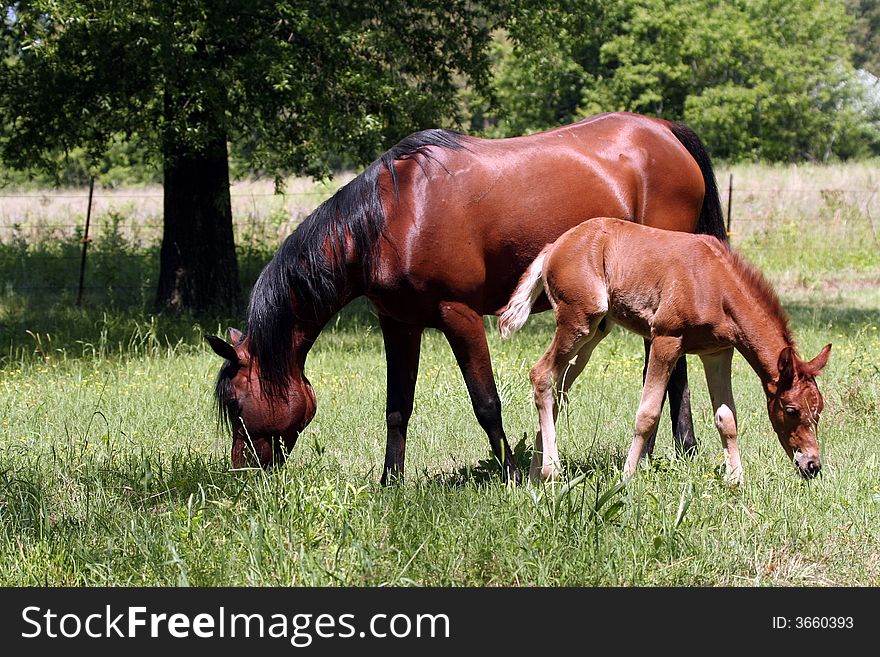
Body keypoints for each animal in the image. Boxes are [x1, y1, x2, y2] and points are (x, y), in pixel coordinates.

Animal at [208, 113, 728, 482]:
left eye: (235, 404)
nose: (242, 471)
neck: (393, 217)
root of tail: (665, 130)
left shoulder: (459, 316)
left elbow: (486, 402)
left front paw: (514, 476)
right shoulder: (400, 325)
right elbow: (397, 407)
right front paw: (389, 483)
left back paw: (676, 450)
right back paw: (674, 450)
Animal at [502, 218, 832, 484]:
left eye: (819, 410)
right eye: (791, 410)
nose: (812, 465)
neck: (715, 284)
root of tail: (554, 246)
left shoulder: (718, 352)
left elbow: (727, 418)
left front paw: (735, 478)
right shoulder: (665, 339)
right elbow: (647, 414)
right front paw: (627, 476)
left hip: (594, 333)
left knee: (557, 389)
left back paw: (534, 473)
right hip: (579, 320)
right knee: (541, 374)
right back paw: (550, 470)